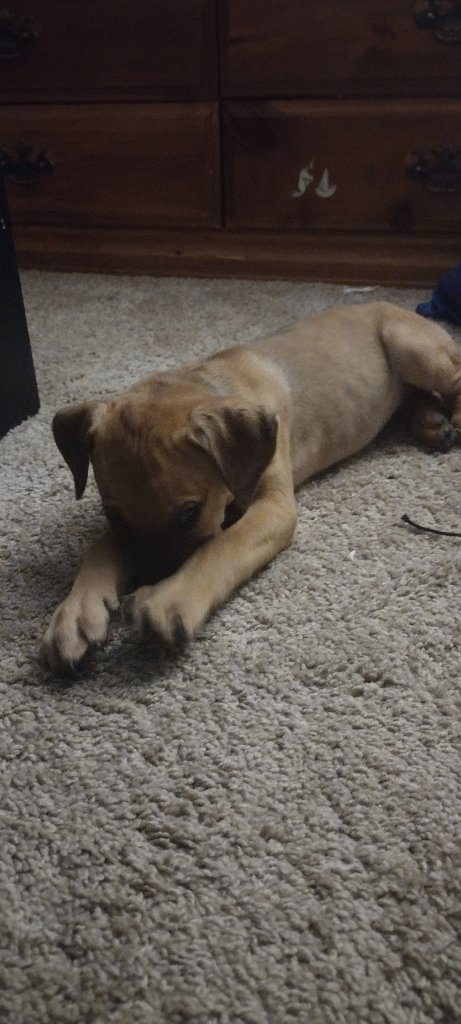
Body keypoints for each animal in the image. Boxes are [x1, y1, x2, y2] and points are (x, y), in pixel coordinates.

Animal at [42, 302, 461, 670]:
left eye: (190, 514)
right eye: (113, 515)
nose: (150, 576)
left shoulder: (273, 507)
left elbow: (220, 547)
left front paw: (170, 599)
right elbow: (99, 549)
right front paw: (76, 614)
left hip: (412, 349)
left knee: (454, 382)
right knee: (415, 398)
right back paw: (431, 423)